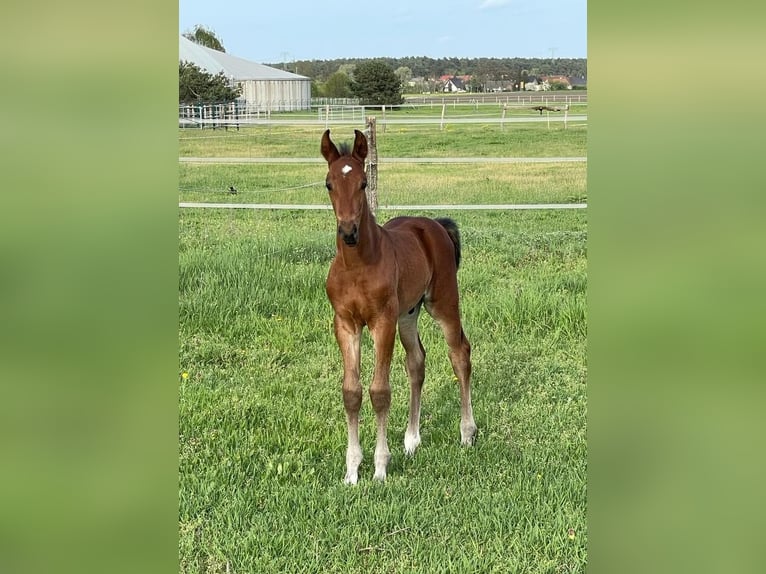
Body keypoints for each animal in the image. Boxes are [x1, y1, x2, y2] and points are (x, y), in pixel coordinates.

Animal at [320, 128, 476, 484]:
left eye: (364, 183)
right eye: (329, 183)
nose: (348, 232)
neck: (357, 266)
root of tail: (434, 224)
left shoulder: (382, 322)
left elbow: (380, 391)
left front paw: (379, 468)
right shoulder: (345, 323)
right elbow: (351, 392)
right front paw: (352, 471)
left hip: (442, 301)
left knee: (460, 353)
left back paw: (466, 432)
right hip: (408, 314)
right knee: (417, 362)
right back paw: (412, 440)